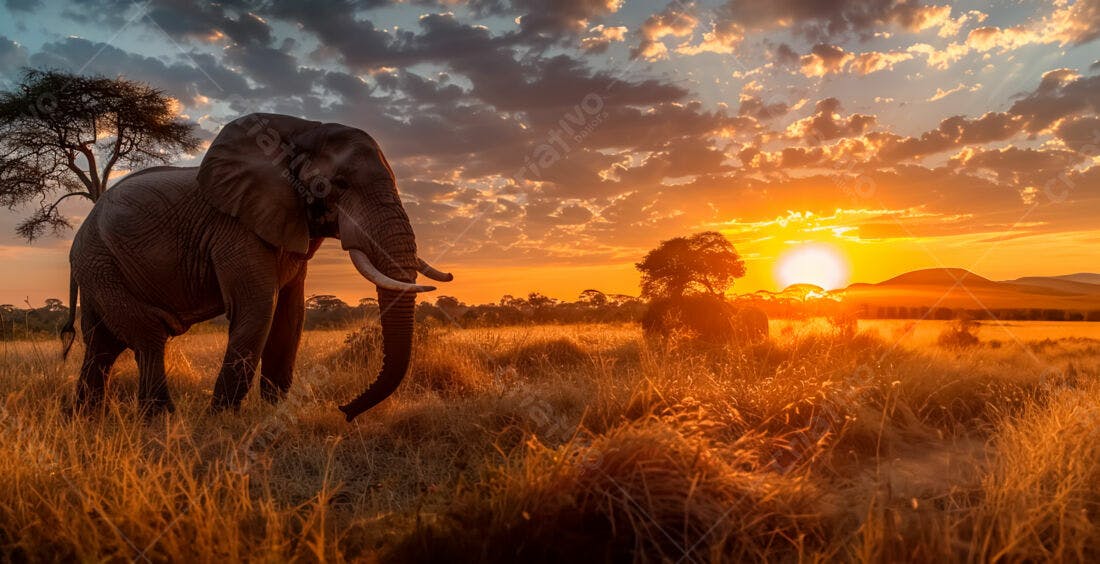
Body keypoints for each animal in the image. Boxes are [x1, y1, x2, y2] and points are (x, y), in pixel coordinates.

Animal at [59, 112, 452, 421]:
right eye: (334, 184)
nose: (344, 411)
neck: (301, 131)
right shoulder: (235, 229)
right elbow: (258, 308)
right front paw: (222, 421)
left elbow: (290, 316)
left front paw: (273, 412)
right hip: (100, 262)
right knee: (147, 338)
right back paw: (162, 420)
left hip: (99, 267)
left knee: (102, 345)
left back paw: (85, 419)